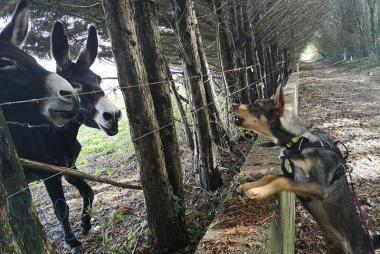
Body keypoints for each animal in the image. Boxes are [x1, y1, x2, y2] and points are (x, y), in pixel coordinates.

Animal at [233, 86, 378, 254]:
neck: (301, 140)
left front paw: (257, 192)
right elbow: (271, 177)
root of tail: (368, 242)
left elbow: (280, 181)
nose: (233, 104)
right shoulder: (298, 179)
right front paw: (247, 186)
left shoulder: (318, 187)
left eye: (256, 105)